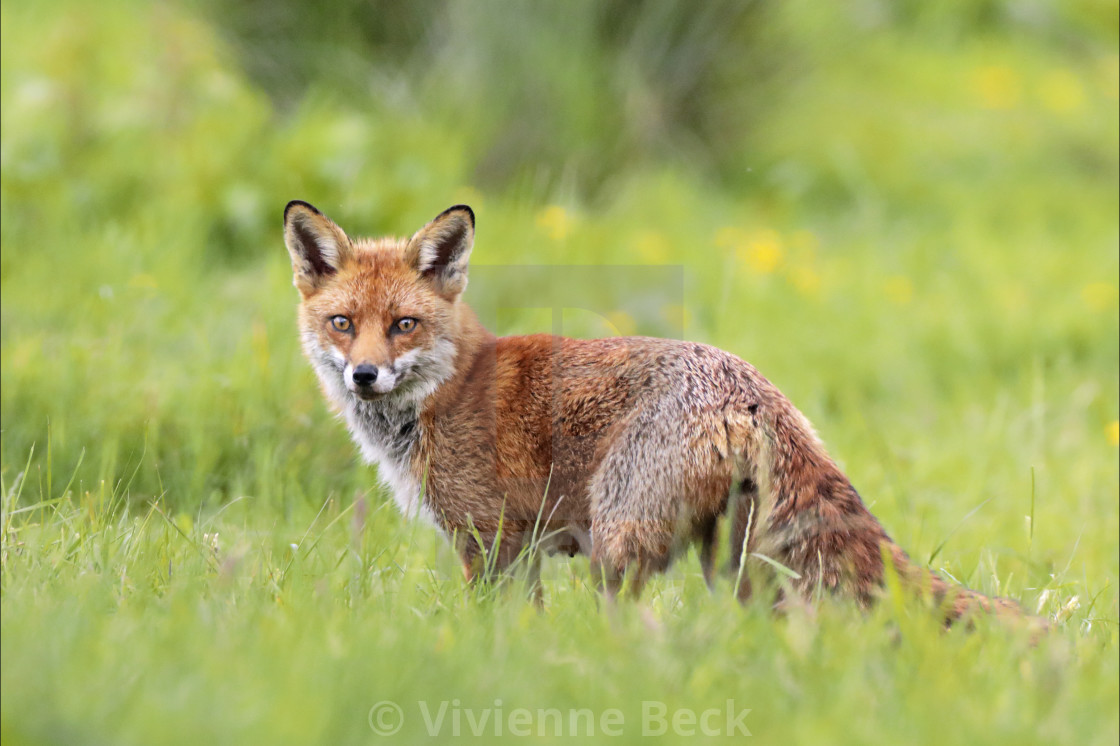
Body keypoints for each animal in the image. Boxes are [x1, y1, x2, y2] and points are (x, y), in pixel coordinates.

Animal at [284, 199, 1025, 622]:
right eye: (343, 323)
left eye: (403, 325)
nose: (365, 376)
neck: (447, 390)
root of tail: (749, 386)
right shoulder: (516, 552)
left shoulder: (491, 543)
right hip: (736, 562)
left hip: (620, 545)